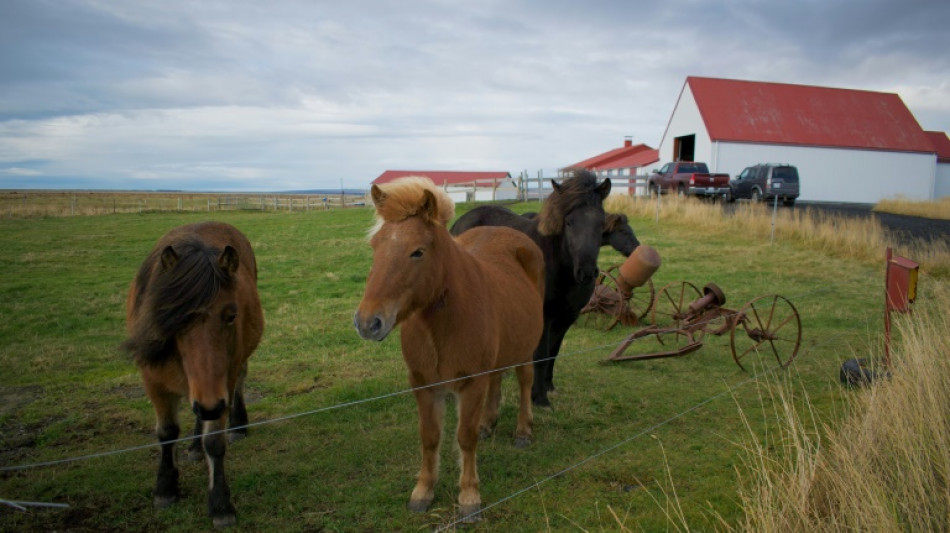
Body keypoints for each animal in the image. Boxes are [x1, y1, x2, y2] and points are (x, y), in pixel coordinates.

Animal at [121, 221, 264, 529]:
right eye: (176, 318)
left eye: (231, 316)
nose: (211, 405)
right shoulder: (154, 382)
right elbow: (166, 432)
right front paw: (165, 488)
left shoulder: (222, 384)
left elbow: (215, 441)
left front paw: (220, 504)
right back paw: (195, 447)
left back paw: (237, 426)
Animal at [354, 177, 544, 522]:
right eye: (375, 247)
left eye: (417, 252)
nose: (367, 322)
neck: (440, 327)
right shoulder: (424, 385)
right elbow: (430, 438)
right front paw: (422, 491)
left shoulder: (471, 384)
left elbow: (464, 438)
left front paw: (469, 496)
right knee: (497, 380)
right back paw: (488, 422)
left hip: (525, 348)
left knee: (524, 380)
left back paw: (523, 430)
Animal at [451, 170, 611, 407]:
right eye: (569, 222)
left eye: (601, 223)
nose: (587, 272)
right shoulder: (545, 316)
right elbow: (542, 356)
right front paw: (539, 398)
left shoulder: (567, 317)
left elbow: (553, 353)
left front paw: (549, 387)